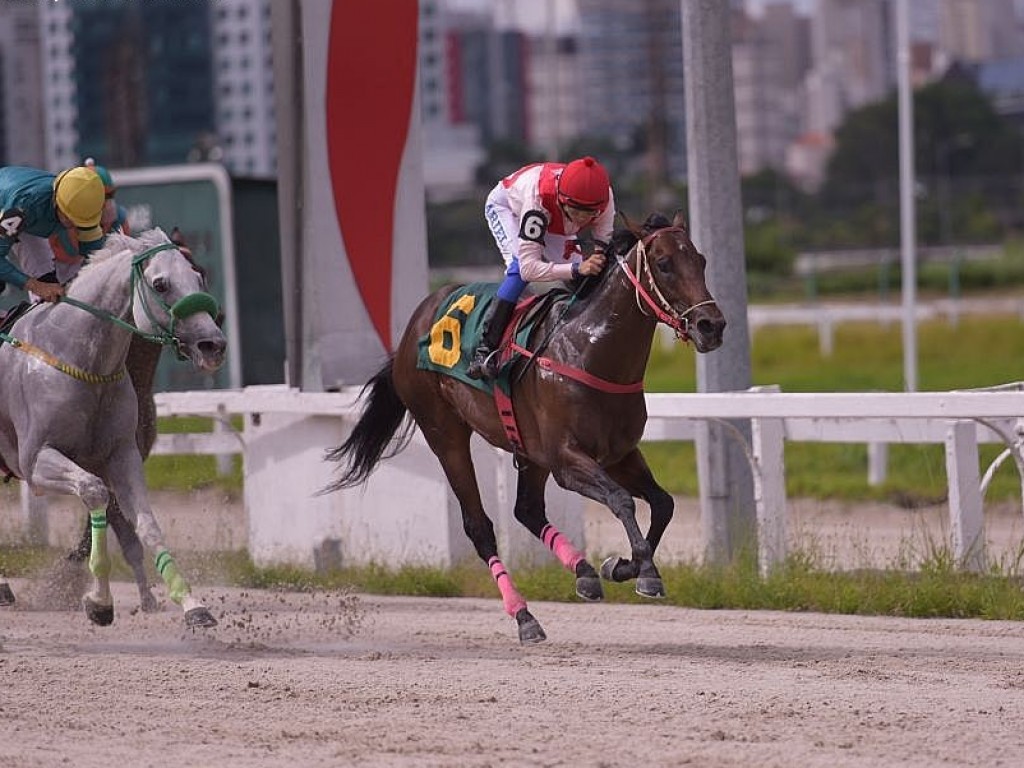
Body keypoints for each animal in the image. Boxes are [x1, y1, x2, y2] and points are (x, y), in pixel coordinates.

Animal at [0, 231, 225, 626]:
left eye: (199, 277)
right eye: (160, 283)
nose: (213, 344)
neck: (84, 361)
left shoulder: (121, 455)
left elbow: (145, 523)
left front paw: (191, 603)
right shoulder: (35, 461)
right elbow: (95, 494)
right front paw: (100, 601)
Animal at [323, 210, 724, 643]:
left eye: (701, 260)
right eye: (664, 264)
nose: (712, 326)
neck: (590, 351)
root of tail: (415, 323)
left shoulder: (619, 454)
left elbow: (663, 503)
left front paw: (619, 566)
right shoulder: (567, 460)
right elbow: (621, 500)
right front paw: (646, 572)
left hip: (528, 449)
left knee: (528, 509)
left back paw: (584, 573)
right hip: (444, 434)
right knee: (480, 526)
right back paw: (524, 616)